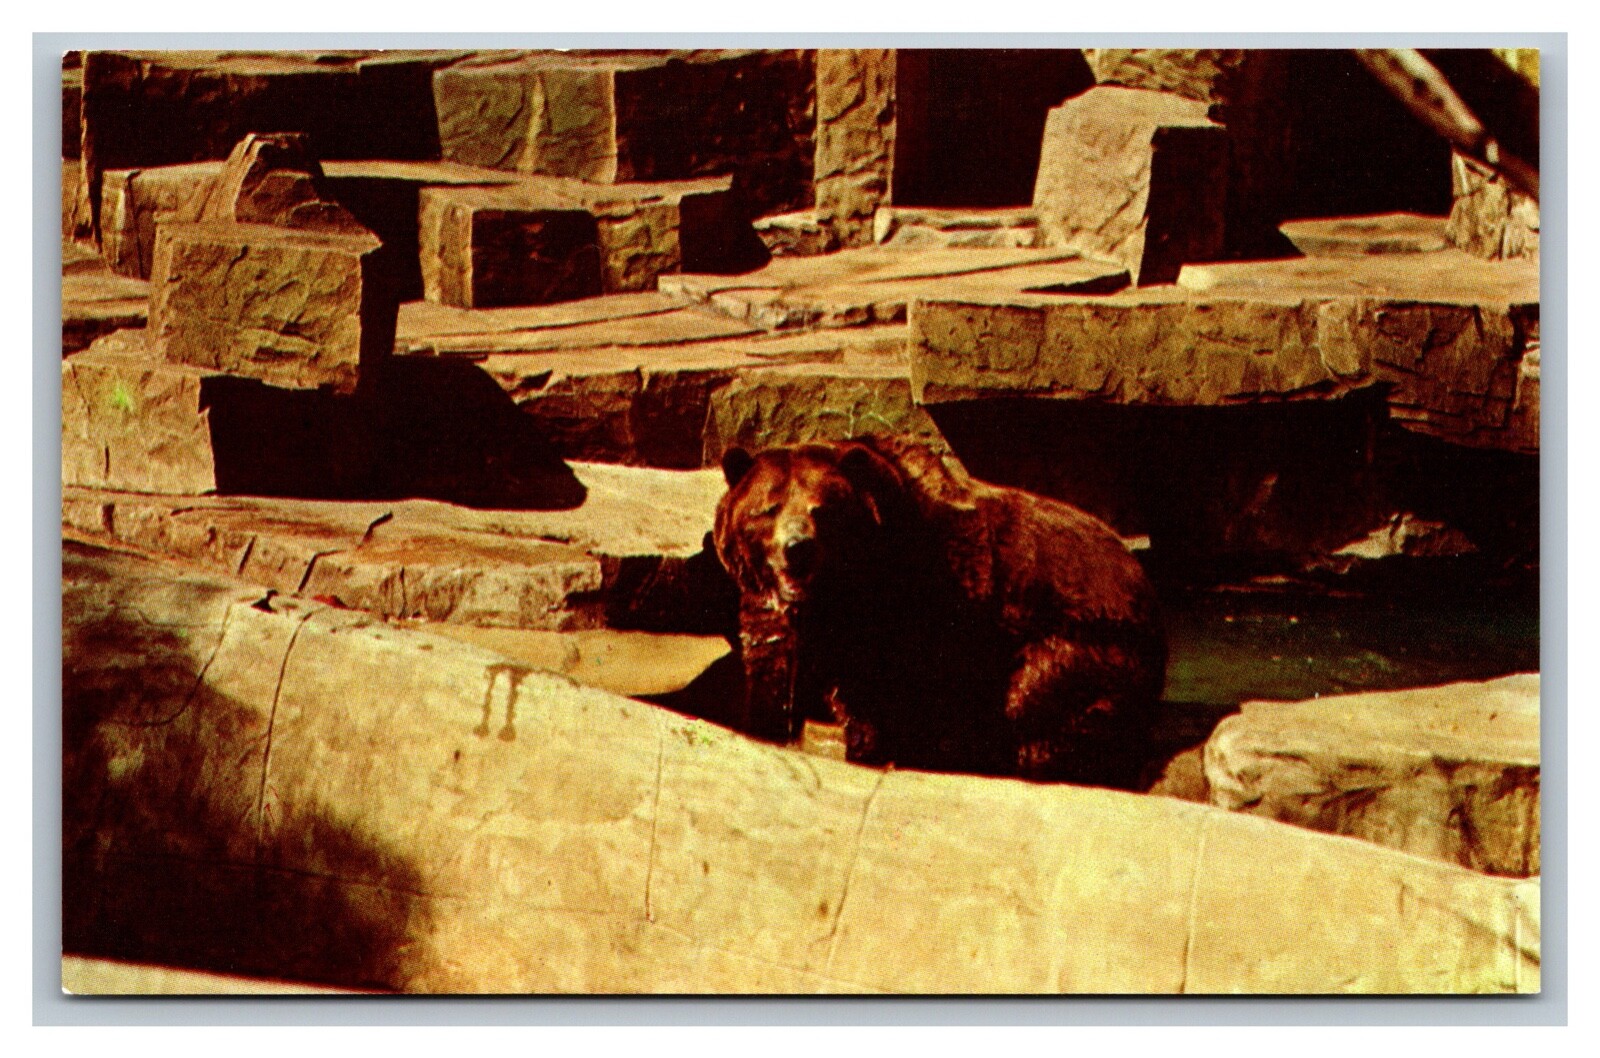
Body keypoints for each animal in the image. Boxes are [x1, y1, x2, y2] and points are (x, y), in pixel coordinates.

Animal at [712, 435, 1166, 788]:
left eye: (822, 508)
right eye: (768, 508)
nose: (798, 548)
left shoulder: (928, 604)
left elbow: (894, 695)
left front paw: (875, 746)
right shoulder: (773, 610)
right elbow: (772, 671)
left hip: (1083, 636)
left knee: (1031, 702)